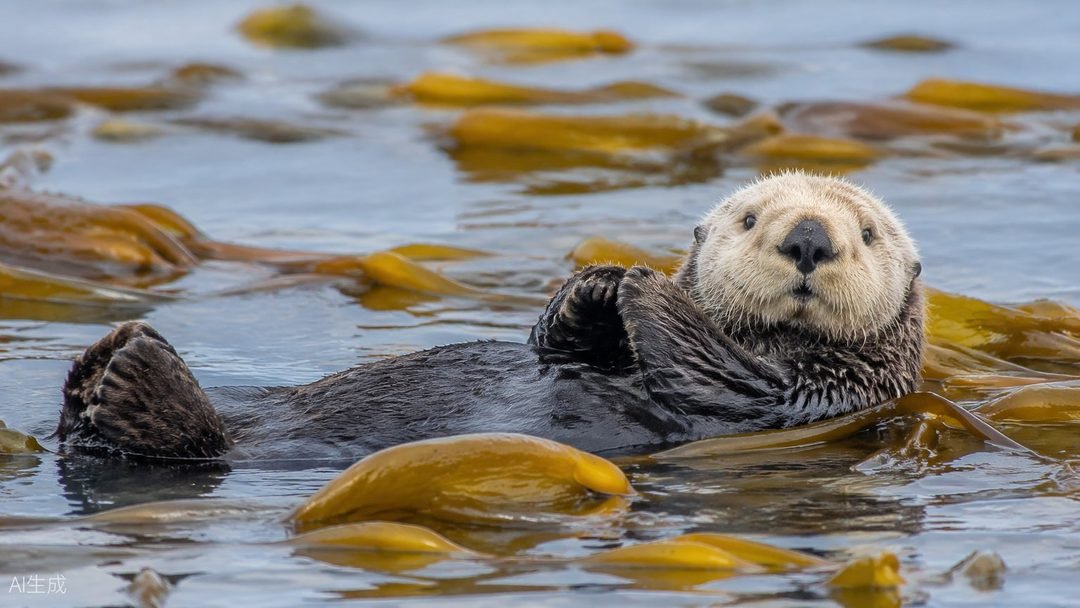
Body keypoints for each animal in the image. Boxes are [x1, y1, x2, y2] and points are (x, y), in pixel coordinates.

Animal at [54, 172, 924, 460]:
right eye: (749, 220)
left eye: (867, 234)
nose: (809, 238)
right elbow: (560, 342)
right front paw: (595, 284)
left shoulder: (814, 394)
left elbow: (718, 375)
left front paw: (643, 286)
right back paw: (109, 355)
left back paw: (130, 376)